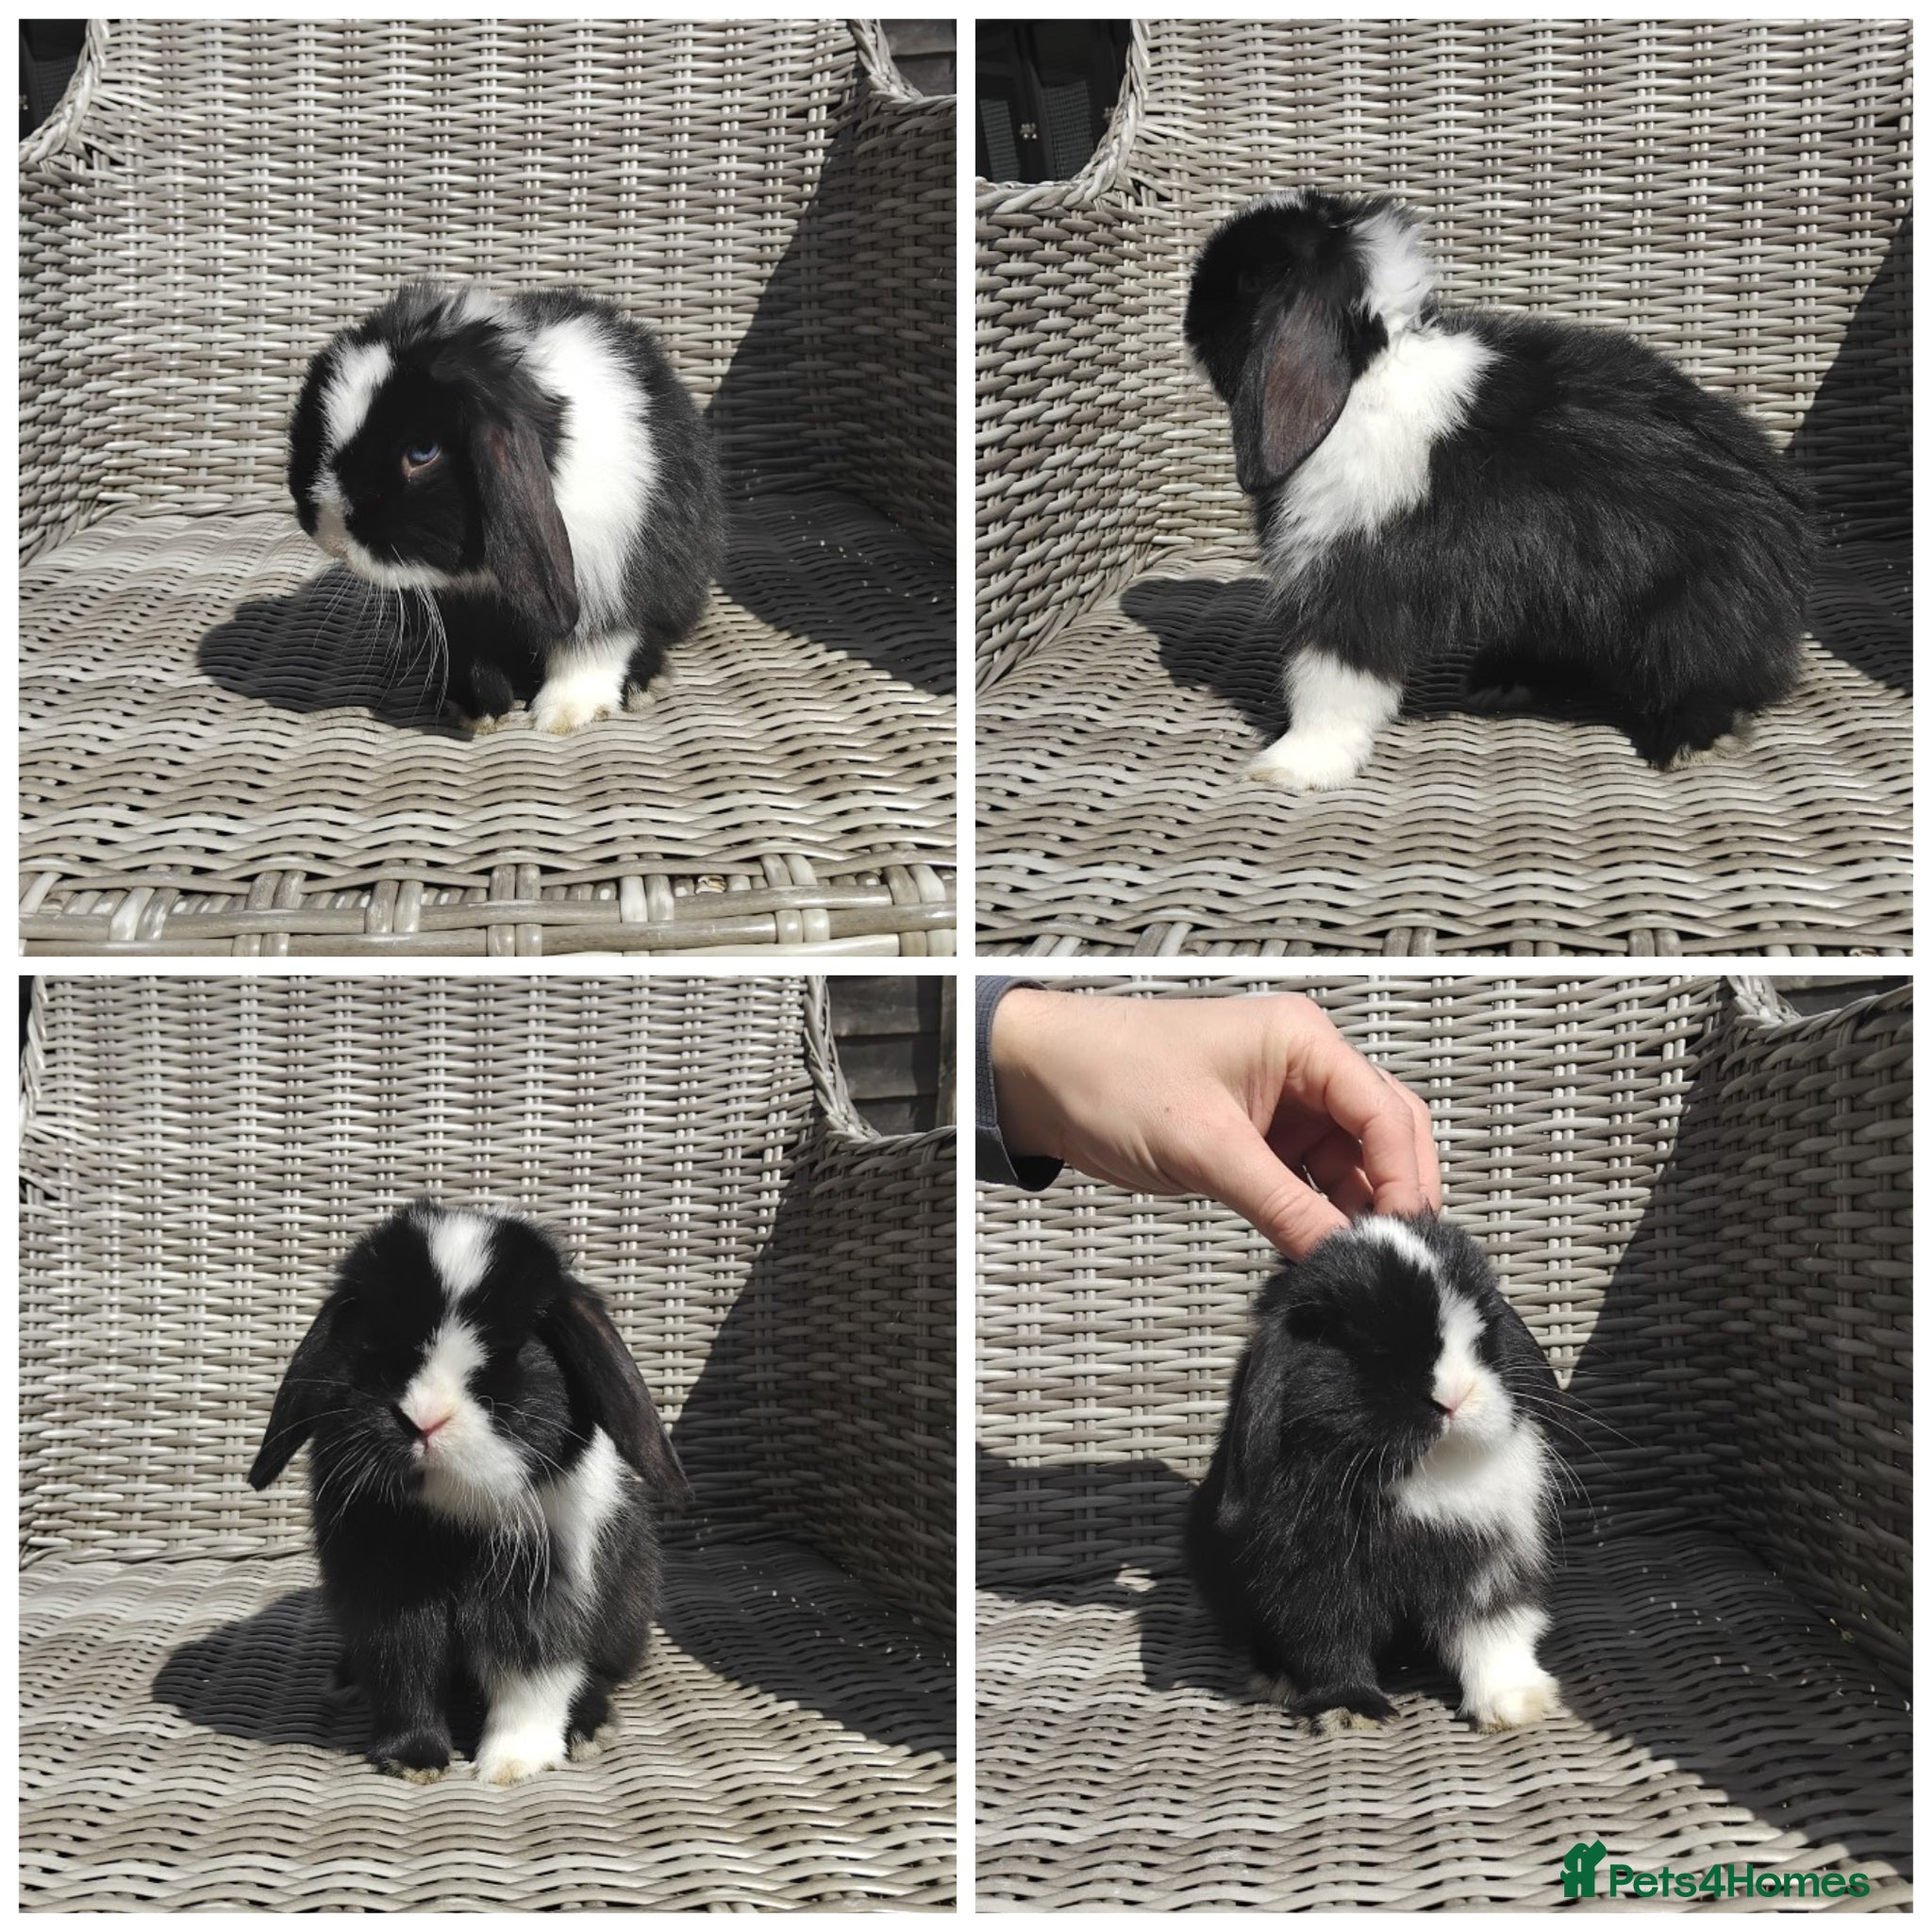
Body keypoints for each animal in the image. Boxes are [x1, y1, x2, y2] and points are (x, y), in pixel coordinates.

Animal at [248, 1200, 690, 1784]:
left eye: (509, 1352)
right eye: (374, 1341)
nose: (423, 1420)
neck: (451, 1519)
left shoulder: (541, 1597)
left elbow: (531, 1681)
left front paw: (512, 1764)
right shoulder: (387, 1602)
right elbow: (406, 1676)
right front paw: (412, 1760)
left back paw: (589, 1729)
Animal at [288, 281, 723, 735]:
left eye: (422, 451)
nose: (330, 536)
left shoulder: (605, 580)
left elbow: (591, 650)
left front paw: (562, 714)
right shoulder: (460, 611)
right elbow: (471, 655)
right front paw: (478, 711)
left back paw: (642, 685)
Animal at [1183, 189, 1814, 788]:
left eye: (1251, 281)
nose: (1189, 312)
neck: (1366, 379)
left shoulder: (1353, 581)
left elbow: (1329, 682)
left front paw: (1291, 767)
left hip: (1685, 618)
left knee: (1709, 681)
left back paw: (1692, 741)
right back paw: (1503, 682)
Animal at [1186, 1214, 1564, 1735]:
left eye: (1483, 1332)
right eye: (1361, 1347)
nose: (1453, 1397)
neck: (1423, 1472)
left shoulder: (1489, 1563)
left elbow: (1494, 1628)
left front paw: (1514, 1703)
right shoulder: (1311, 1577)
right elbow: (1328, 1642)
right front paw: (1349, 1709)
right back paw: (1278, 1680)